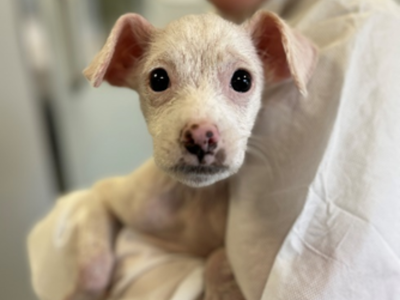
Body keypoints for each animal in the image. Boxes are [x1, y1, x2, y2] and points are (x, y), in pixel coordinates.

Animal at [28, 9, 318, 300]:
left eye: (242, 80)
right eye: (158, 79)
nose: (201, 137)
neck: (195, 198)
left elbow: (218, 258)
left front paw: (221, 286)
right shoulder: (102, 195)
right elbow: (93, 267)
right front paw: (80, 292)